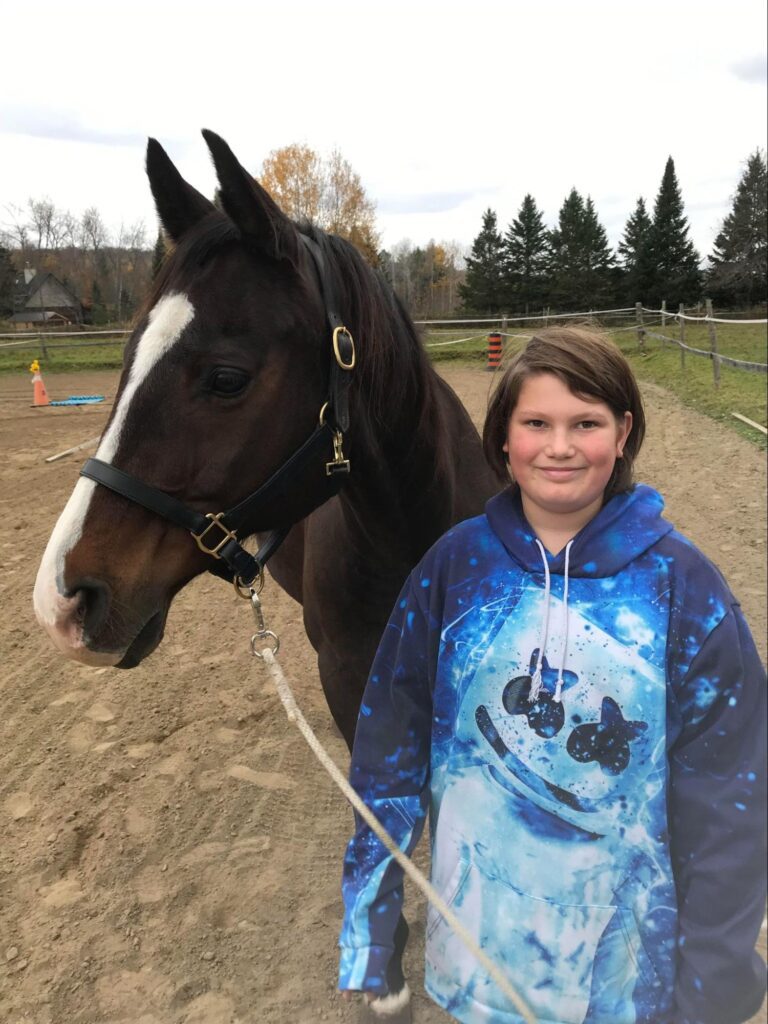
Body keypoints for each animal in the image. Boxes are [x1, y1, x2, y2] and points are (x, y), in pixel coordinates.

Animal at [34, 132, 505, 1019]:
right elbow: (384, 813)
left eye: (226, 377)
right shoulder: (354, 674)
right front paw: (385, 960)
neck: (413, 530)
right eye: (125, 359)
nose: (64, 600)